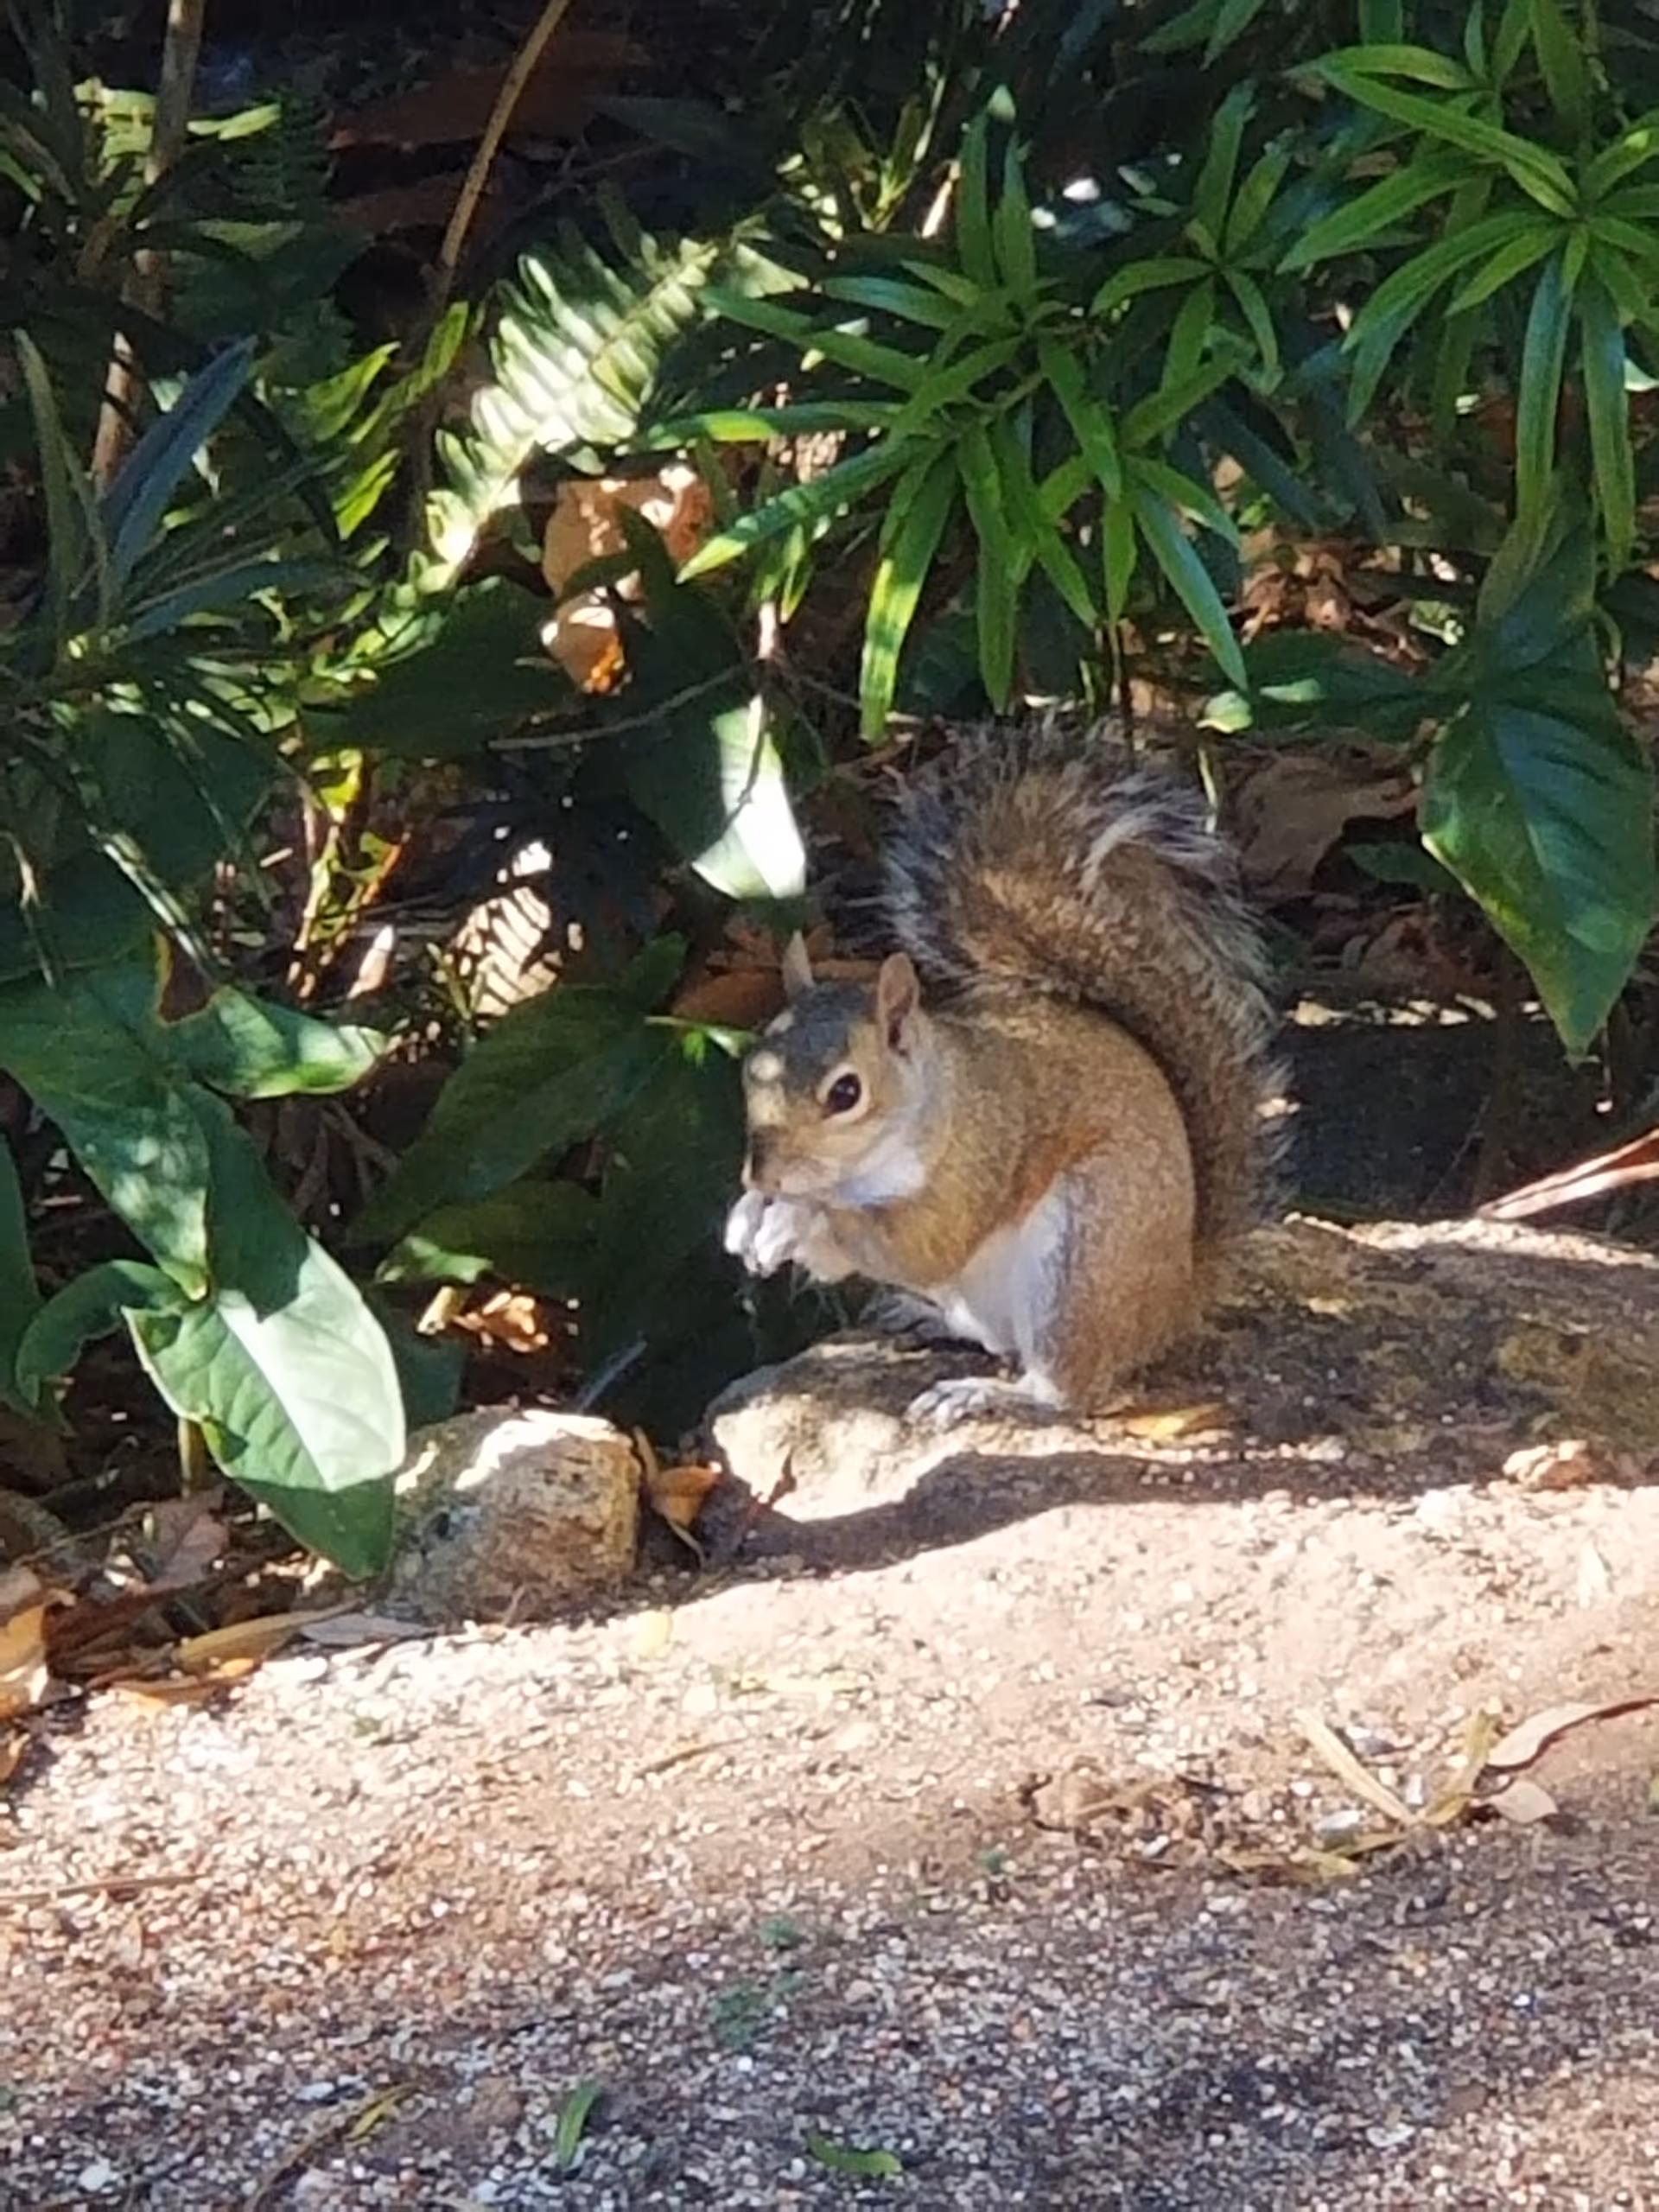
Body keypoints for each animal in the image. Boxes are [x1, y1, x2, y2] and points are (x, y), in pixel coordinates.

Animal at [723, 715, 1282, 1424]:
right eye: (750, 1069)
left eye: (845, 1092)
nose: (761, 1173)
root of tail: (1173, 1301)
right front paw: (747, 1214)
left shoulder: (978, 1157)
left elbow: (918, 1244)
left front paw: (798, 1217)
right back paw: (925, 1320)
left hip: (1077, 1260)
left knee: (1067, 1390)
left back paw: (985, 1394)